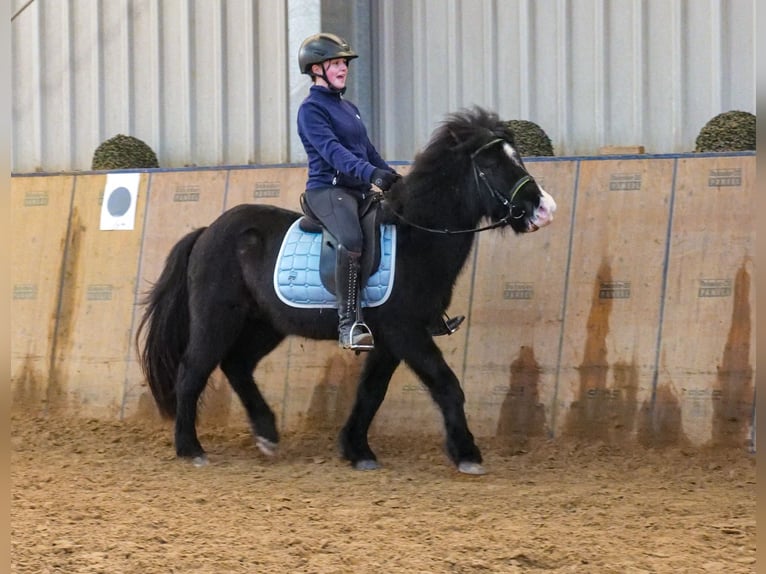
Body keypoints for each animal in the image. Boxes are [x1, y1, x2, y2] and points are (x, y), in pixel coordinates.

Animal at [136, 108, 560, 476]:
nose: (544, 210)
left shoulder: (390, 338)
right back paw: (190, 448)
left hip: (266, 324)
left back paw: (267, 435)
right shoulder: (406, 331)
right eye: (491, 165)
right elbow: (446, 384)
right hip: (218, 318)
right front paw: (468, 454)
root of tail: (206, 231)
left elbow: (371, 391)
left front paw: (357, 450)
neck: (416, 236)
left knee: (237, 365)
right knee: (193, 370)